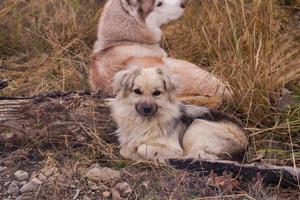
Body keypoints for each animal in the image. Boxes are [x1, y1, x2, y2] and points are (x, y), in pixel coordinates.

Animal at [110, 66, 248, 163]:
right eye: (137, 91)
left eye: (157, 93)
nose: (146, 109)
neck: (144, 122)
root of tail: (246, 143)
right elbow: (124, 149)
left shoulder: (174, 148)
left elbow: (140, 148)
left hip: (196, 126)